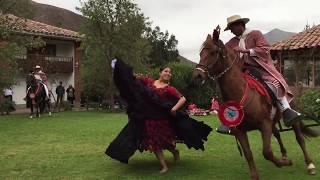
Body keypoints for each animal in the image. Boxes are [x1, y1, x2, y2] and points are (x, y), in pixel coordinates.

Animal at [191, 26, 318, 179]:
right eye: (201, 52)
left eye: (213, 52)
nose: (197, 76)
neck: (239, 92)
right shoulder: (241, 131)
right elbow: (248, 154)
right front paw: (259, 173)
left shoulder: (264, 124)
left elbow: (267, 152)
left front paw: (284, 163)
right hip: (272, 121)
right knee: (277, 133)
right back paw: (284, 155)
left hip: (291, 118)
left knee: (299, 138)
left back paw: (309, 164)